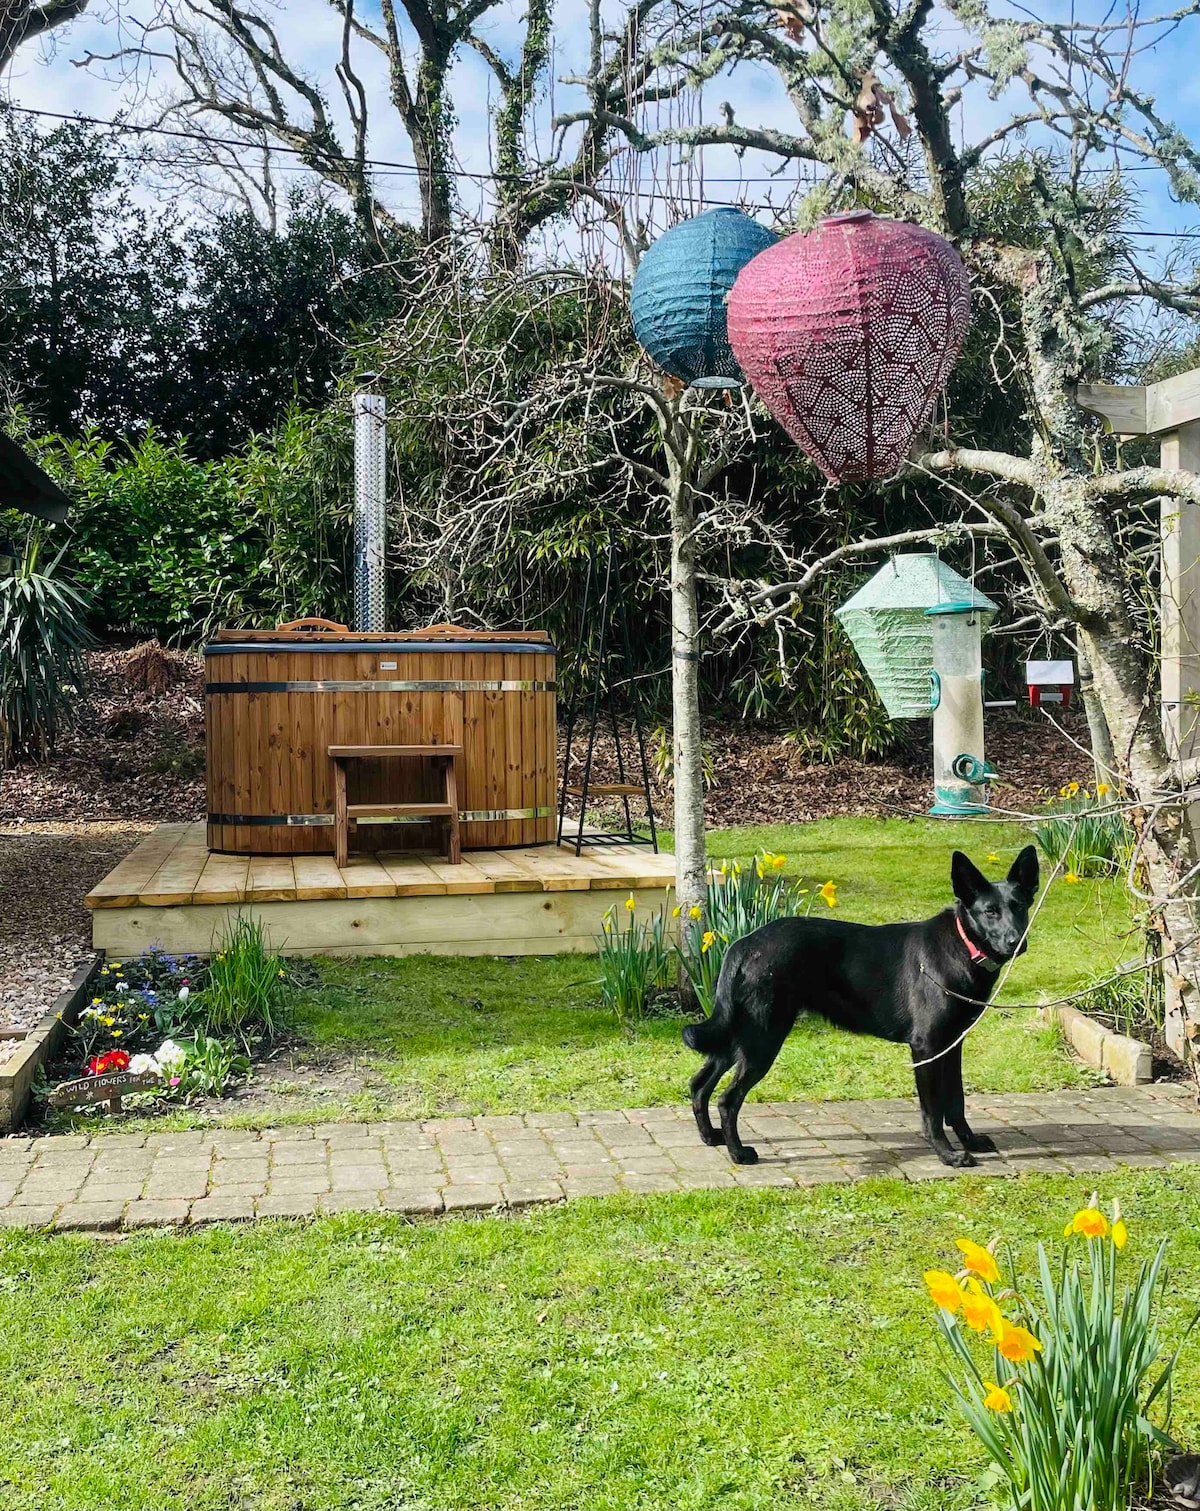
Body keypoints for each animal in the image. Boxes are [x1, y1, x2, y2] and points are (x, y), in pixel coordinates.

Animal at [683, 852, 1039, 1166]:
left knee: (699, 1084)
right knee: (728, 1099)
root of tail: (744, 944)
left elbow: (956, 1102)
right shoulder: (926, 1048)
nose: (1016, 942)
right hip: (762, 1039)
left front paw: (970, 1141)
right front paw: (947, 1155)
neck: (962, 946)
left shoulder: (952, 1044)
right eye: (990, 912)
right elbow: (933, 1112)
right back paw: (738, 1154)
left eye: (1019, 907)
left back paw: (710, 1137)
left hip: (738, 1037)